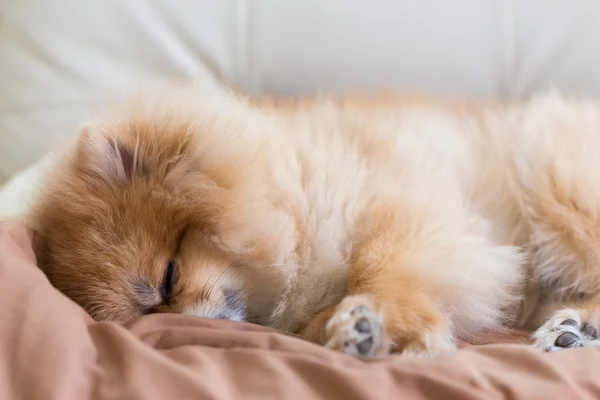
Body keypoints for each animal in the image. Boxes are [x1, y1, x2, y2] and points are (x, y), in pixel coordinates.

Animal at [27, 86, 600, 356]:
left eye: (167, 277)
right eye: (148, 314)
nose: (184, 322)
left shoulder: (403, 202)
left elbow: (379, 263)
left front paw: (384, 323)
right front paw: (348, 328)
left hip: (557, 180)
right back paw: (574, 329)